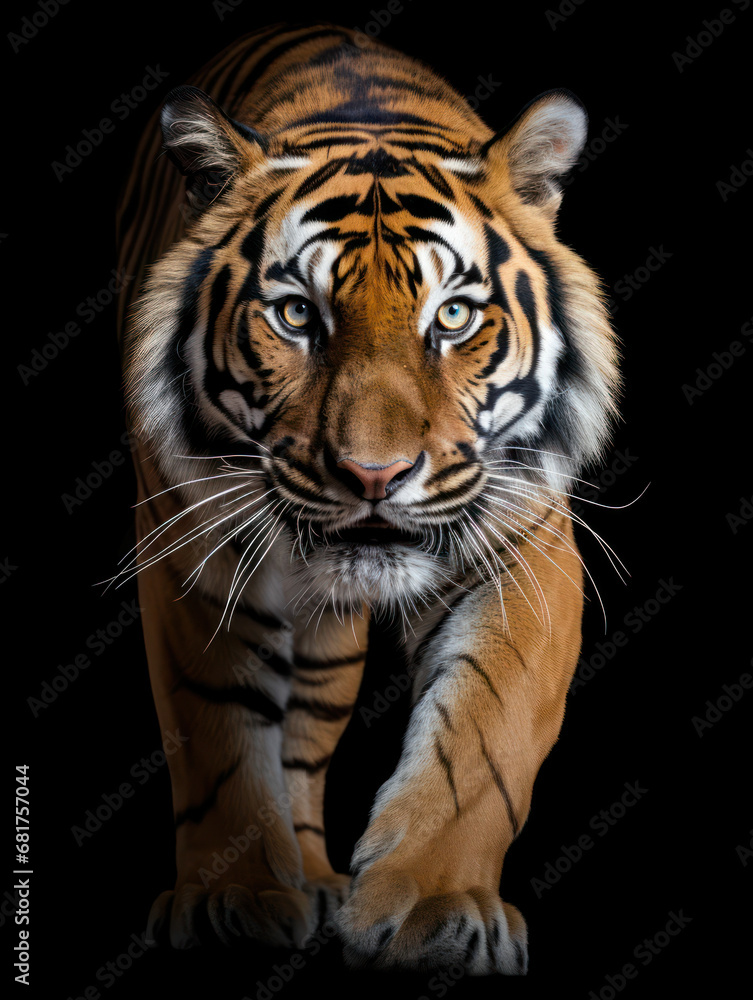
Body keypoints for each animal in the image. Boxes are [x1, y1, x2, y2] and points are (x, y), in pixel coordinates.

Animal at [115, 22, 619, 975]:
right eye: (295, 316)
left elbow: (484, 739)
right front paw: (234, 899)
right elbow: (216, 733)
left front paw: (434, 908)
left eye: (453, 317)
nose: (374, 475)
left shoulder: (525, 550)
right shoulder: (189, 551)